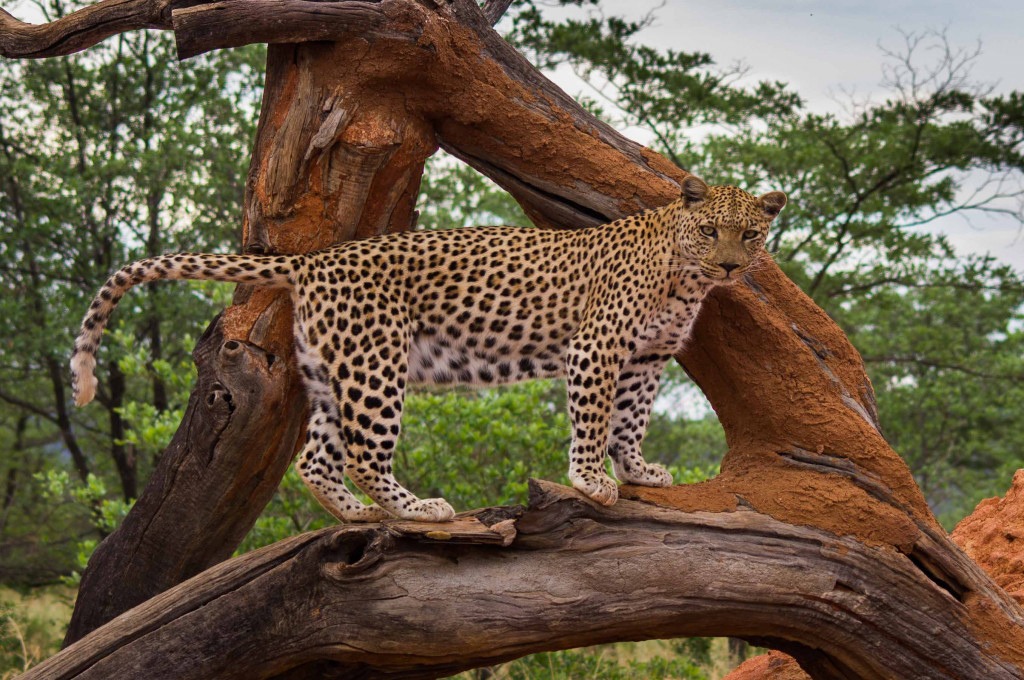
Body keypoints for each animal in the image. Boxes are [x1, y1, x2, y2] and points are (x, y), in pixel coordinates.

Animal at [70, 175, 786, 523]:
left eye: (748, 235)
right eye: (710, 231)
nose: (730, 266)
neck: (685, 279)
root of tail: (312, 260)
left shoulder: (645, 358)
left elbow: (630, 421)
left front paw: (636, 471)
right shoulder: (598, 346)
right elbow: (592, 420)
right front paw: (592, 481)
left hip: (333, 370)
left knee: (316, 457)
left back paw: (359, 514)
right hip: (377, 365)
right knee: (363, 454)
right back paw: (417, 509)